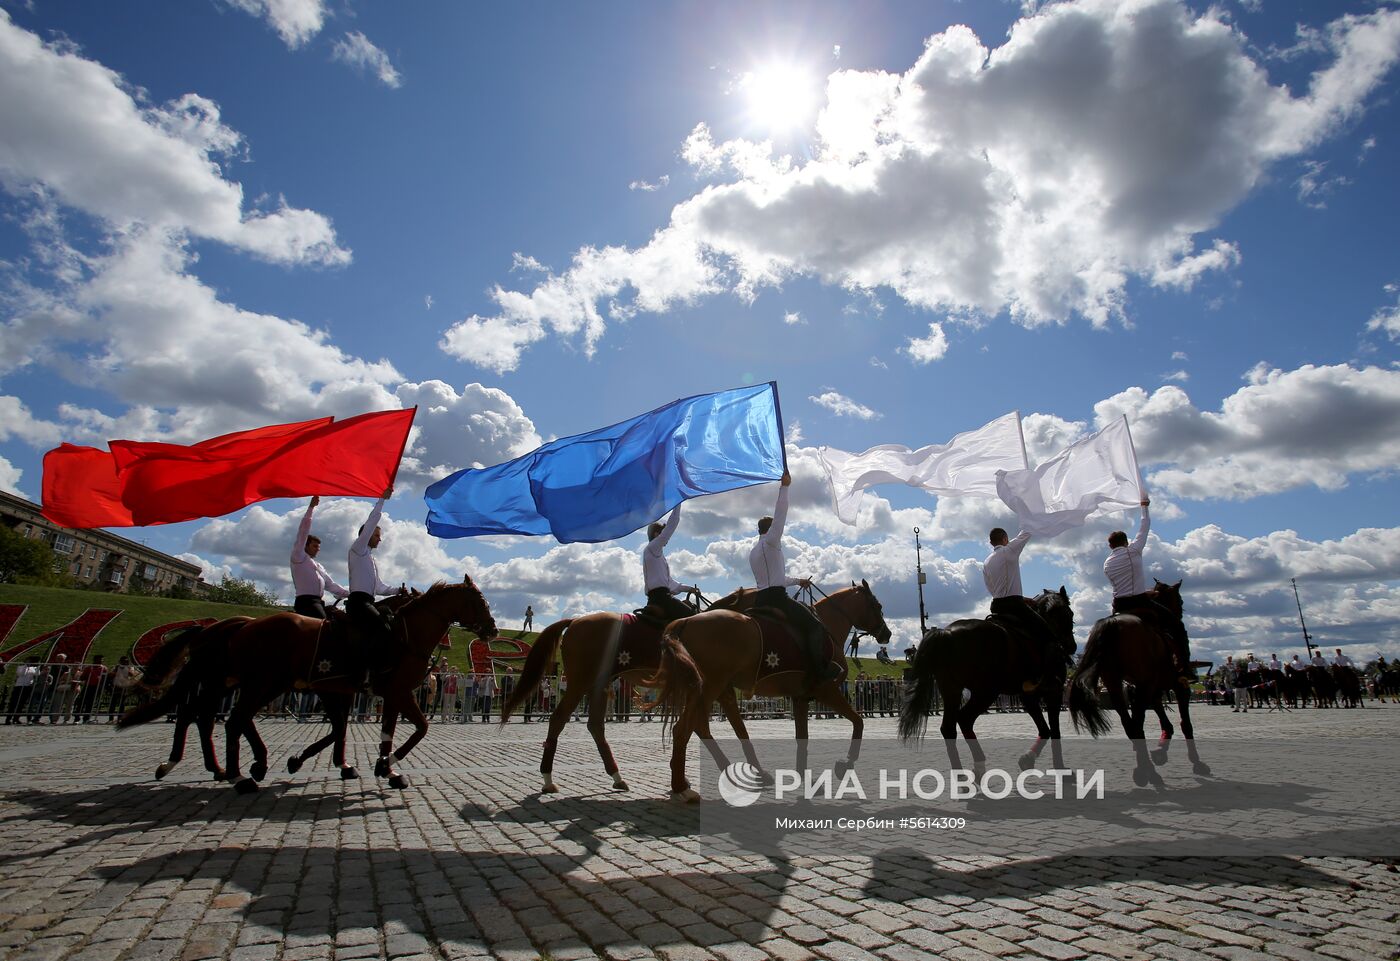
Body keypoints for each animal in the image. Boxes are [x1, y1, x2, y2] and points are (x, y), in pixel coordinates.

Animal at [641, 582, 890, 801]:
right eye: (877, 605)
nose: (886, 634)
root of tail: (685, 621)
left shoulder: (800, 697)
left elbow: (802, 737)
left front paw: (806, 780)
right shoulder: (826, 690)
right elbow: (858, 722)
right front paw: (845, 763)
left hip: (710, 690)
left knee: (702, 727)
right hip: (710, 687)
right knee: (683, 729)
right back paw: (682, 787)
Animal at [896, 588, 1069, 773]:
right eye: (1070, 613)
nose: (1071, 645)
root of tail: (946, 633)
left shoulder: (1027, 695)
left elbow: (1045, 730)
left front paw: (1027, 759)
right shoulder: (1053, 691)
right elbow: (1054, 730)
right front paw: (1060, 767)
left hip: (951, 688)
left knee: (949, 727)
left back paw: (961, 774)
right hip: (986, 692)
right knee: (964, 719)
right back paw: (978, 765)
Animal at [1064, 582, 1209, 784]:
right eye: (1180, 601)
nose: (1180, 613)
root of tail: (1113, 624)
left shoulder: (1154, 690)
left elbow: (1166, 723)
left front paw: (1160, 752)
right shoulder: (1178, 686)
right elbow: (1185, 724)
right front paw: (1196, 762)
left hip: (1116, 685)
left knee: (1130, 725)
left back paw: (1146, 768)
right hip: (1141, 686)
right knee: (1137, 724)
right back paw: (1144, 771)